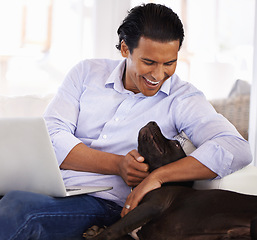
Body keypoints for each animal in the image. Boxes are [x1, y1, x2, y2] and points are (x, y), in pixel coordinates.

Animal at [84, 122, 256, 240]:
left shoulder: (151, 206)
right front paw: (96, 230)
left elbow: (113, 229)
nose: (153, 122)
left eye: (176, 143)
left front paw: (99, 233)